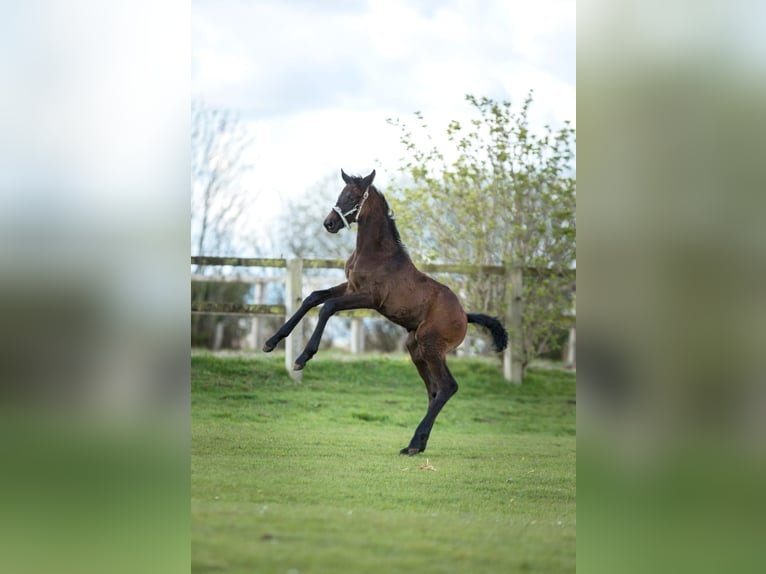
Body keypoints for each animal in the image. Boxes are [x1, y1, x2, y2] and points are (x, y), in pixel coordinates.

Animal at [264, 169, 510, 456]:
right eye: (340, 193)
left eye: (354, 196)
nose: (329, 223)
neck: (376, 253)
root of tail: (464, 316)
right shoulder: (350, 287)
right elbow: (312, 298)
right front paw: (271, 342)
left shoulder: (370, 298)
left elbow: (328, 307)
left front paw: (302, 358)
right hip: (416, 349)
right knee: (434, 391)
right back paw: (418, 444)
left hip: (431, 346)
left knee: (448, 387)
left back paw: (413, 444)